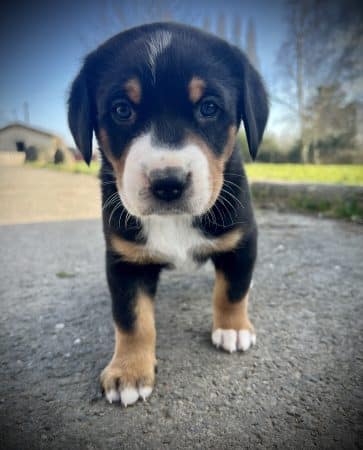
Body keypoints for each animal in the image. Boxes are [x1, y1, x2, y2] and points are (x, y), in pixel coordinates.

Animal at [68, 22, 268, 408]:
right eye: (121, 110)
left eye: (209, 107)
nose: (168, 183)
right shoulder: (124, 260)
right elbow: (132, 318)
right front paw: (128, 372)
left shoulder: (242, 238)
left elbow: (232, 289)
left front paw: (233, 328)